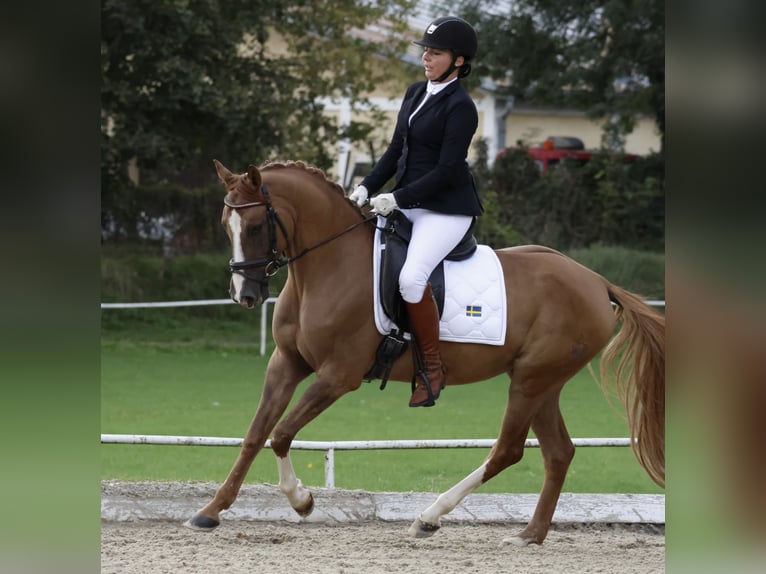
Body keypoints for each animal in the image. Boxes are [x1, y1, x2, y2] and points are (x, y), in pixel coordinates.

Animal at [186, 160, 664, 548]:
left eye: (253, 227)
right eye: (226, 225)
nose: (244, 294)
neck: (327, 267)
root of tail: (597, 281)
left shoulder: (338, 375)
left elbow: (282, 433)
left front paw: (302, 501)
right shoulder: (286, 363)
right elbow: (255, 434)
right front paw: (210, 511)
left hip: (533, 380)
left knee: (508, 450)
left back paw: (429, 518)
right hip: (541, 382)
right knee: (558, 452)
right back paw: (529, 534)